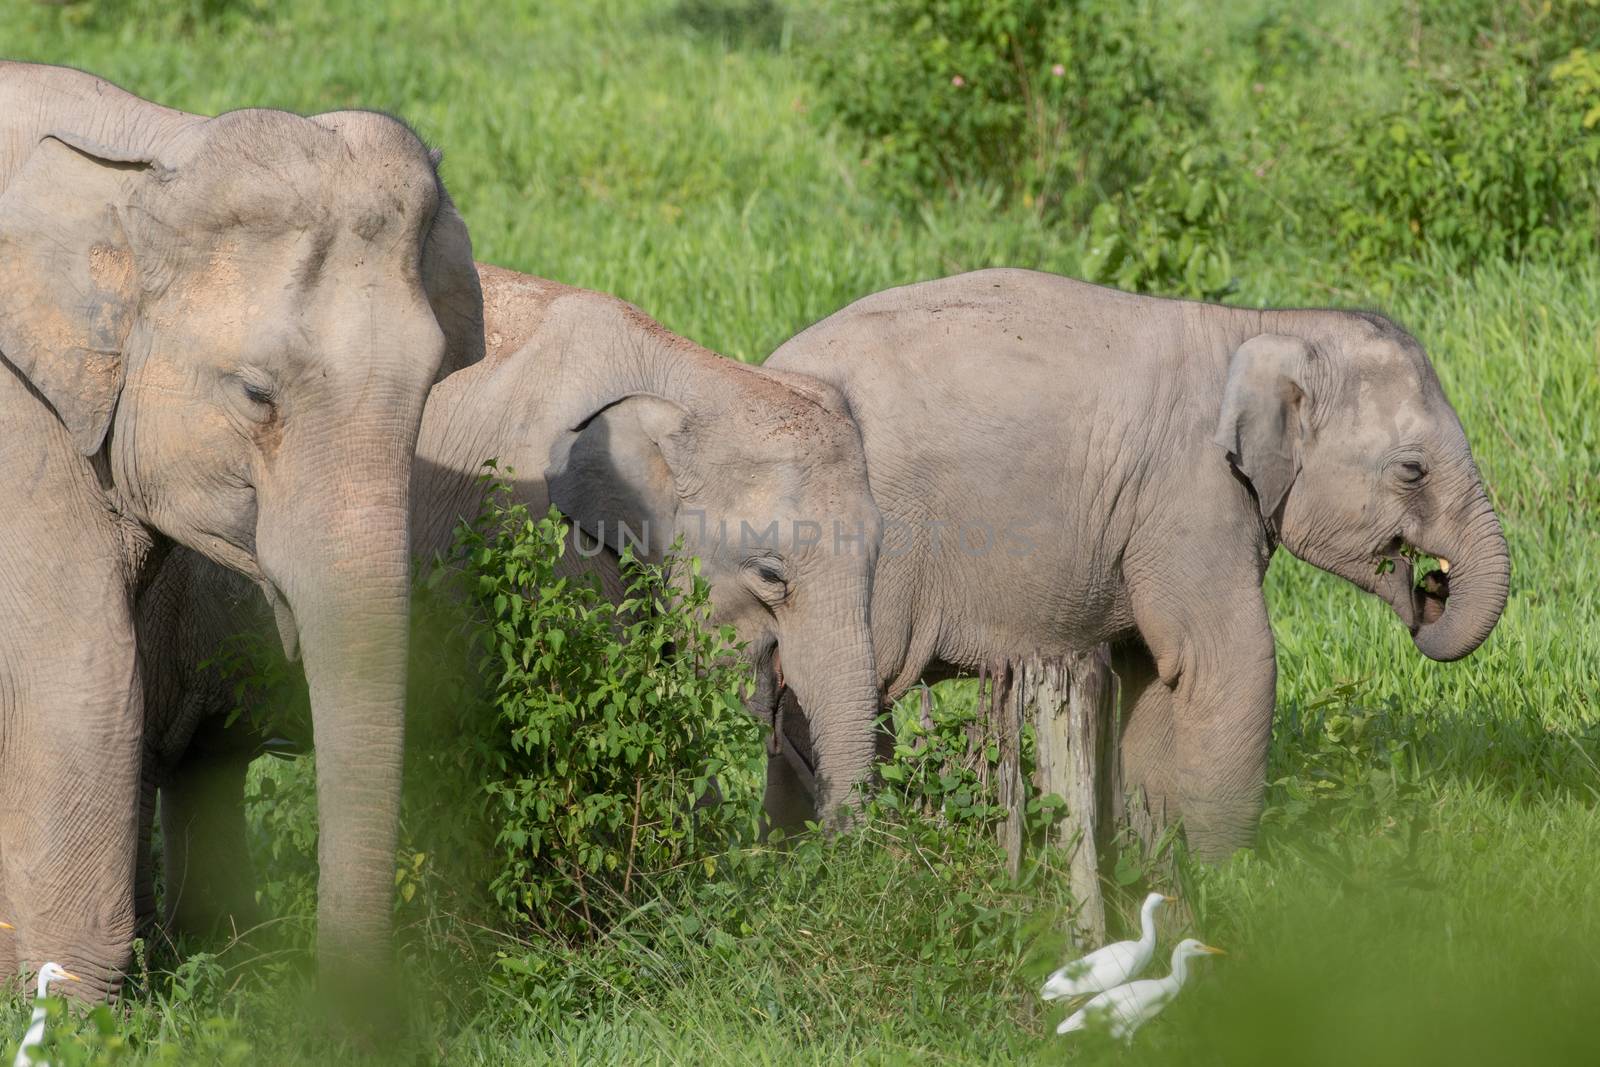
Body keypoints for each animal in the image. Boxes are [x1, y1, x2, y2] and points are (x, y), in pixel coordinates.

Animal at [1, 60, 486, 991]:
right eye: (258, 394)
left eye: (433, 387)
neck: (147, 148)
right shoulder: (17, 432)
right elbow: (85, 671)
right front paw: (70, 1001)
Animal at [761, 271, 1510, 863]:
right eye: (1412, 470)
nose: (1432, 585)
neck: (1266, 326)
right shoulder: (1189, 496)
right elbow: (1230, 661)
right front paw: (1231, 884)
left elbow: (1153, 673)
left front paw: (1159, 860)